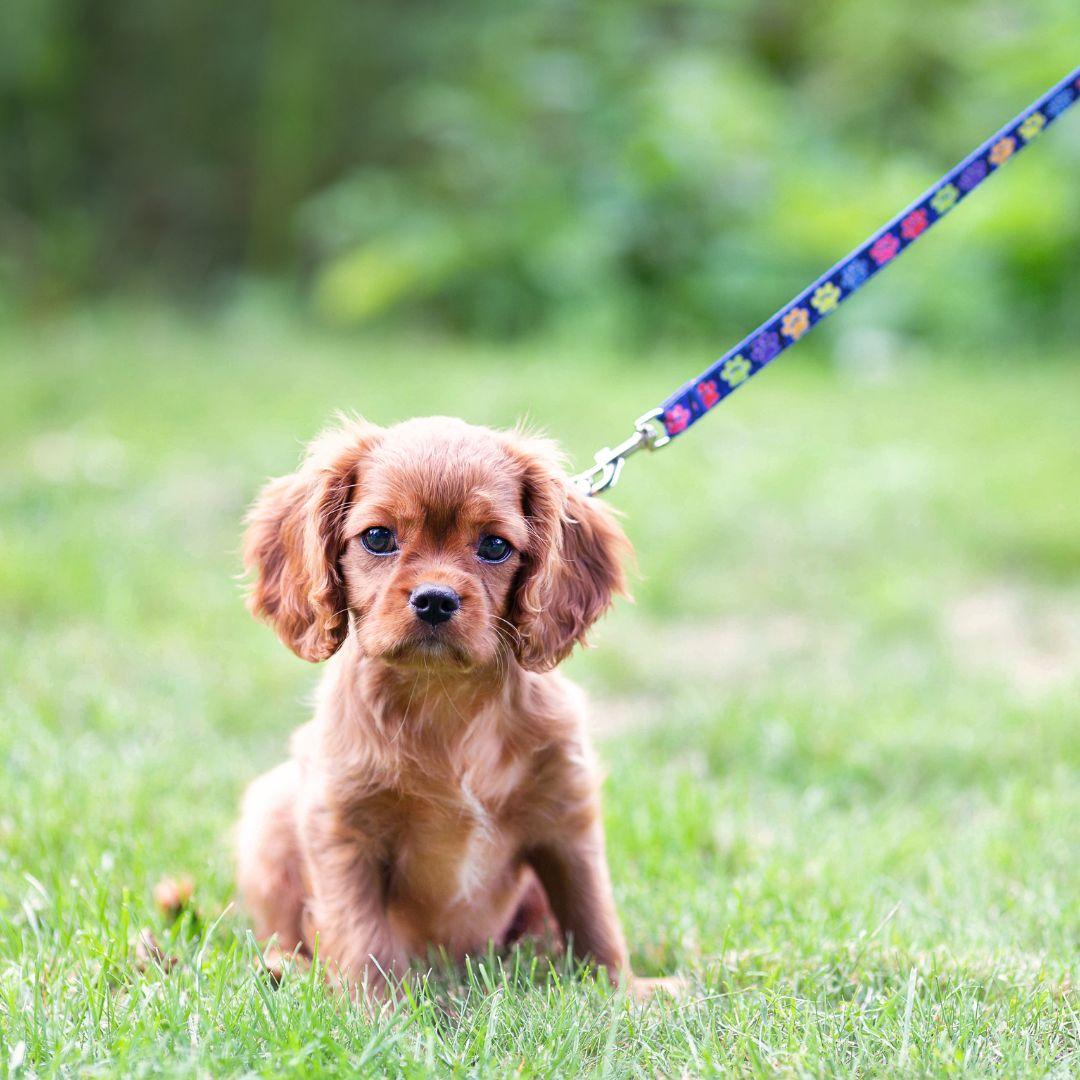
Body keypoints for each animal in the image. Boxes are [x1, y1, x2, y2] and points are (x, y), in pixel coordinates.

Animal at [237, 412, 652, 993]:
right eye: (378, 537)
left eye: (495, 546)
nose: (435, 599)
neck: (444, 696)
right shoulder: (342, 827)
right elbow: (362, 937)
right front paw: (375, 1010)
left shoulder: (566, 818)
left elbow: (592, 915)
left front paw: (622, 994)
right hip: (268, 813)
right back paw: (282, 966)